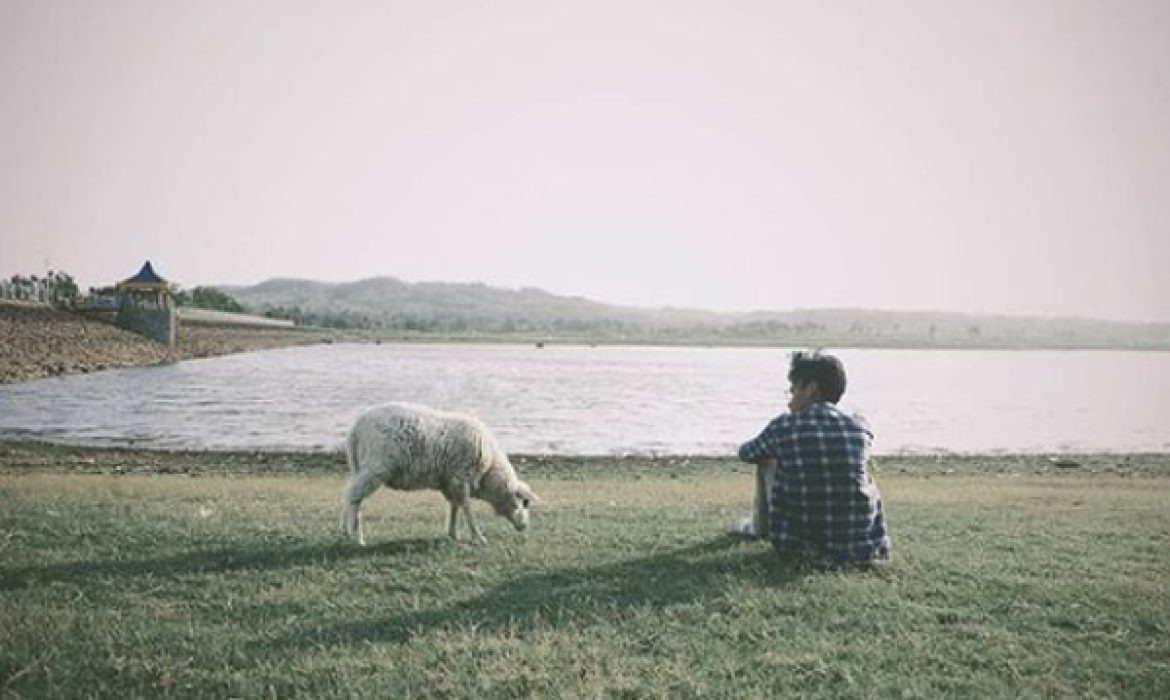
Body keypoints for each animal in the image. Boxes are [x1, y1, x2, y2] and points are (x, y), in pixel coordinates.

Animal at [339, 400, 538, 547]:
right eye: (525, 503)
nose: (525, 527)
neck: (489, 474)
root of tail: (356, 429)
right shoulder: (461, 476)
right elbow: (467, 507)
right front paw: (477, 536)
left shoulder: (450, 482)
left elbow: (455, 506)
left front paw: (453, 533)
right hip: (376, 467)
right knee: (353, 497)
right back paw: (355, 537)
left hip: (360, 467)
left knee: (352, 495)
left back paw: (345, 533)